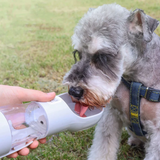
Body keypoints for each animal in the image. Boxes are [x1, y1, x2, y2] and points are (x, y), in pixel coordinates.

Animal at [62, 3, 160, 160]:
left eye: (102, 57)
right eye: (78, 54)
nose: (74, 91)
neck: (136, 83)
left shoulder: (157, 134)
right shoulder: (111, 115)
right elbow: (103, 148)